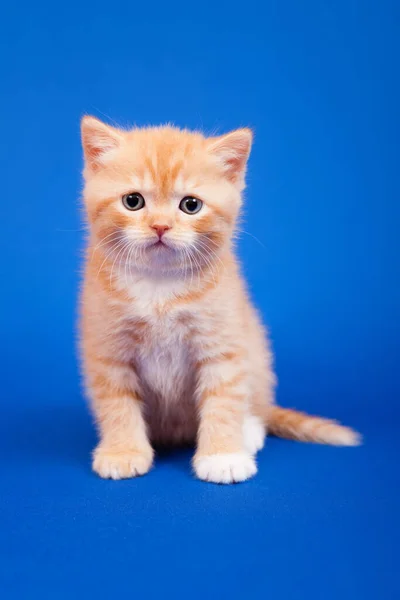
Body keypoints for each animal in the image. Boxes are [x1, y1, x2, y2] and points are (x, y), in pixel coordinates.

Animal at [78, 116, 360, 482]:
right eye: (133, 201)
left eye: (191, 205)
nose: (160, 227)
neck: (159, 285)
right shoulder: (108, 350)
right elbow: (117, 403)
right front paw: (122, 451)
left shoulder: (223, 344)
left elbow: (223, 399)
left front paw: (223, 455)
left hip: (257, 355)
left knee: (257, 404)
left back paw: (248, 431)